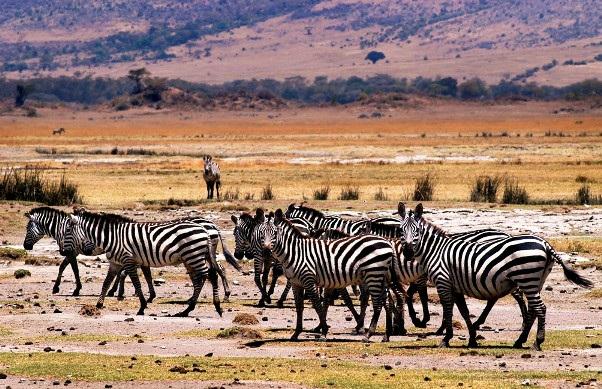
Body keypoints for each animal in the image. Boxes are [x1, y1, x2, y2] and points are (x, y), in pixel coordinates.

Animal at [62, 209, 223, 316]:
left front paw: (142, 307)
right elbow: (106, 283)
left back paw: (211, 307)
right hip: (192, 257)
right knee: (204, 277)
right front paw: (99, 304)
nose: (63, 252)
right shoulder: (116, 263)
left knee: (210, 275)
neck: (113, 237)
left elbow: (136, 283)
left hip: (194, 255)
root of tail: (204, 229)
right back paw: (190, 309)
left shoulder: (128, 260)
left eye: (67, 231)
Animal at [262, 209, 394, 340]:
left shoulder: (309, 280)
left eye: (275, 233)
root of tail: (387, 243)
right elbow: (299, 307)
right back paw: (386, 335)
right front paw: (296, 333)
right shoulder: (296, 282)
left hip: (374, 274)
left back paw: (369, 334)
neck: (295, 252)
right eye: (261, 234)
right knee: (386, 302)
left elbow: (317, 304)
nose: (266, 251)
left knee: (377, 304)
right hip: (380, 276)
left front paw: (324, 330)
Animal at [398, 203, 592, 348]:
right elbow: (464, 312)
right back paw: (520, 340)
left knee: (540, 308)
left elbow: (447, 309)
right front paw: (472, 338)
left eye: (417, 231)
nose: (407, 252)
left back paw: (537, 342)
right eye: (401, 230)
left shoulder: (443, 281)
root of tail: (545, 244)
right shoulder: (455, 285)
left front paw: (445, 338)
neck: (436, 251)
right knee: (533, 308)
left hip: (526, 278)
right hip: (536, 280)